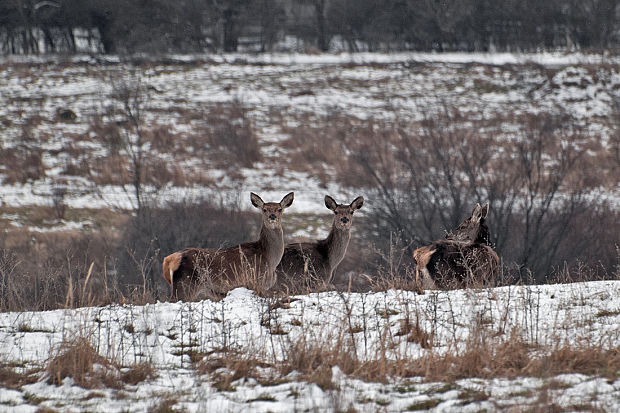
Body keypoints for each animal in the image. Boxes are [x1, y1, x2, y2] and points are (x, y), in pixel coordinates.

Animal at [162, 190, 294, 300]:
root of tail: (169, 260)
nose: (272, 216)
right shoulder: (255, 282)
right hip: (185, 284)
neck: (270, 259)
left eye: (279, 209)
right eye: (264, 209)